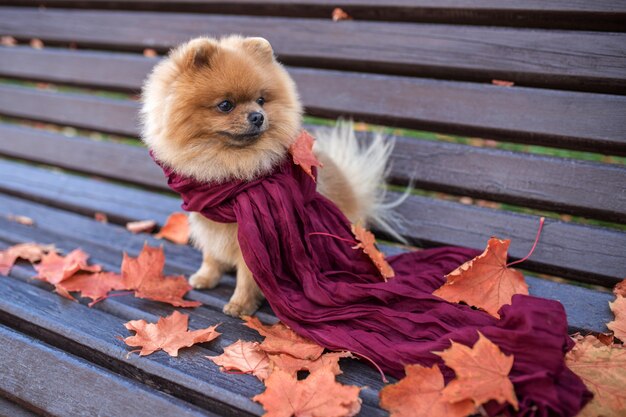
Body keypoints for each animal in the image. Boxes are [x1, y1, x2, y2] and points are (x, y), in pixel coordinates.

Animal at [142, 36, 394, 316]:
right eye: (225, 105)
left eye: (261, 100)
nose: (258, 116)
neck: (229, 165)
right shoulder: (209, 221)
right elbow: (211, 254)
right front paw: (206, 277)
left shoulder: (256, 238)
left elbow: (249, 276)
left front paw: (240, 305)